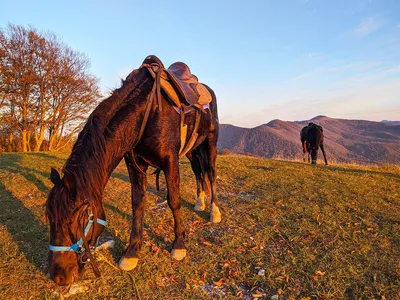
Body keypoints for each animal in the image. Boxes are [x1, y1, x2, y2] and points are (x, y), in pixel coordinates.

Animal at [47, 55, 222, 286]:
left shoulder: (170, 161)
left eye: (77, 219)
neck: (147, 113)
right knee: (198, 172)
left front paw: (179, 245)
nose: (59, 276)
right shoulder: (135, 164)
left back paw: (214, 211)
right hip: (192, 150)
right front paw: (132, 252)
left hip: (210, 143)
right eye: (50, 219)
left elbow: (174, 201)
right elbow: (137, 204)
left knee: (210, 173)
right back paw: (199, 202)